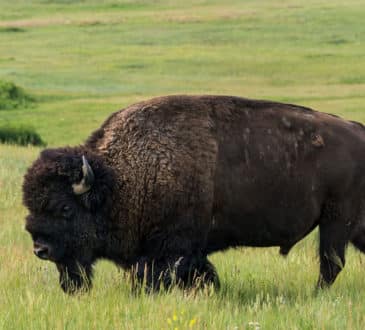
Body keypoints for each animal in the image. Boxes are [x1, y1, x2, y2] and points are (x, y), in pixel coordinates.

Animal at [22, 95, 364, 294]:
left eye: (65, 208)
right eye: (30, 206)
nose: (41, 249)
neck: (119, 181)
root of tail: (359, 131)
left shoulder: (172, 249)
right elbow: (202, 273)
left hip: (336, 221)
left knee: (330, 263)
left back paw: (315, 294)